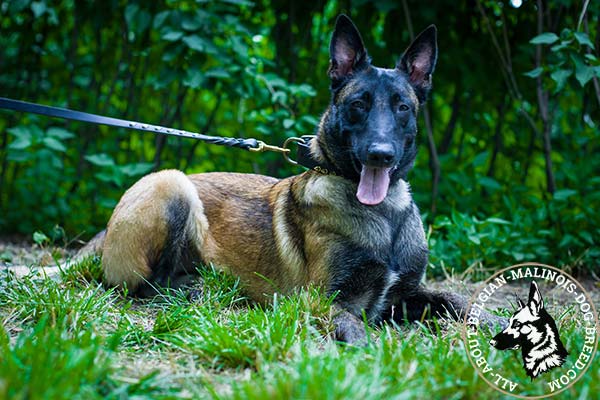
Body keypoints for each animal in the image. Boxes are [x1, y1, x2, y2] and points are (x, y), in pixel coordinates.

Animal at [85, 14, 502, 342]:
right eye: (358, 104)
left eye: (402, 107)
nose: (380, 155)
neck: (383, 215)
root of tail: (102, 236)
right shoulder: (322, 299)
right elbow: (355, 327)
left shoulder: (404, 295)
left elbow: (455, 299)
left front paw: (493, 319)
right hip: (171, 183)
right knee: (147, 286)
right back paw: (200, 289)